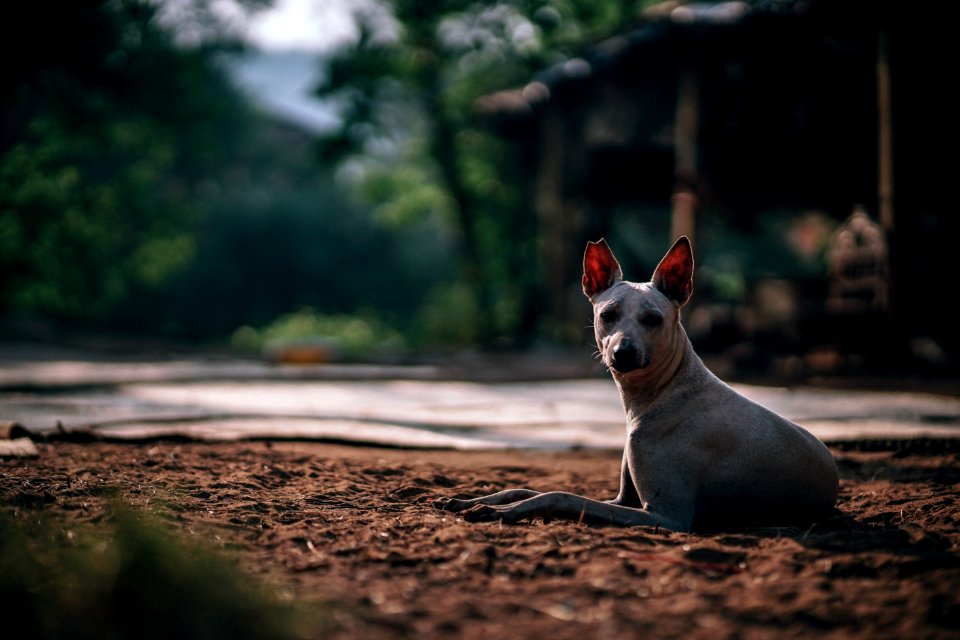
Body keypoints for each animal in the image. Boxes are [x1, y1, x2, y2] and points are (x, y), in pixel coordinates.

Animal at [436, 238, 840, 532]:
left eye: (653, 319)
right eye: (607, 314)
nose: (623, 352)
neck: (664, 394)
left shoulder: (666, 516)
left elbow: (560, 495)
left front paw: (504, 511)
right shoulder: (624, 501)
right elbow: (525, 486)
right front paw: (474, 500)